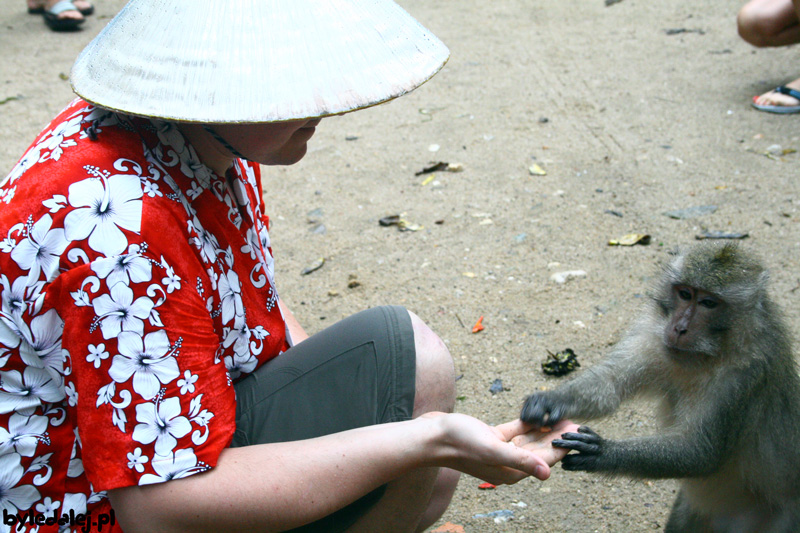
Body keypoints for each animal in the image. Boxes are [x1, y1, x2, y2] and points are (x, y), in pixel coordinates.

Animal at [520, 243, 800, 528]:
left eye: (709, 303)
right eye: (685, 294)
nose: (680, 328)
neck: (709, 354)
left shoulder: (745, 376)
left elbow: (699, 452)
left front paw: (603, 452)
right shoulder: (653, 336)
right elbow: (610, 385)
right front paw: (551, 401)